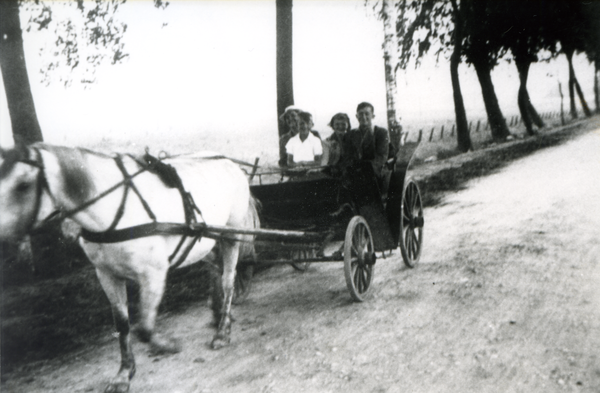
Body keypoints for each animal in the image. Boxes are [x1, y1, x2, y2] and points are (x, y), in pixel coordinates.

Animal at [0, 144, 258, 392]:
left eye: (23, 185)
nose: (3, 239)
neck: (115, 210)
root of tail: (228, 162)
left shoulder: (154, 274)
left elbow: (143, 328)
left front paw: (166, 345)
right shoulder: (106, 275)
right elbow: (122, 323)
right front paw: (124, 373)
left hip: (231, 236)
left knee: (228, 279)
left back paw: (223, 330)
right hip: (205, 239)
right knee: (215, 268)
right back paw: (217, 313)